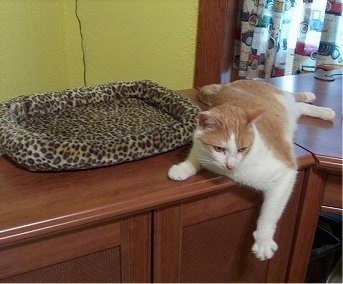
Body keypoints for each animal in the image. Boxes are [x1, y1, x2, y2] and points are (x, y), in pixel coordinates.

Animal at [169, 80, 336, 262]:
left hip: (282, 100)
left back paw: (321, 107)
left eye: (242, 149)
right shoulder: (200, 149)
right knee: (298, 106)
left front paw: (263, 240)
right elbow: (194, 158)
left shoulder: (284, 174)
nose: (230, 165)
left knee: (296, 100)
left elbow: (270, 211)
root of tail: (229, 84)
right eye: (219, 149)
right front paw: (182, 168)